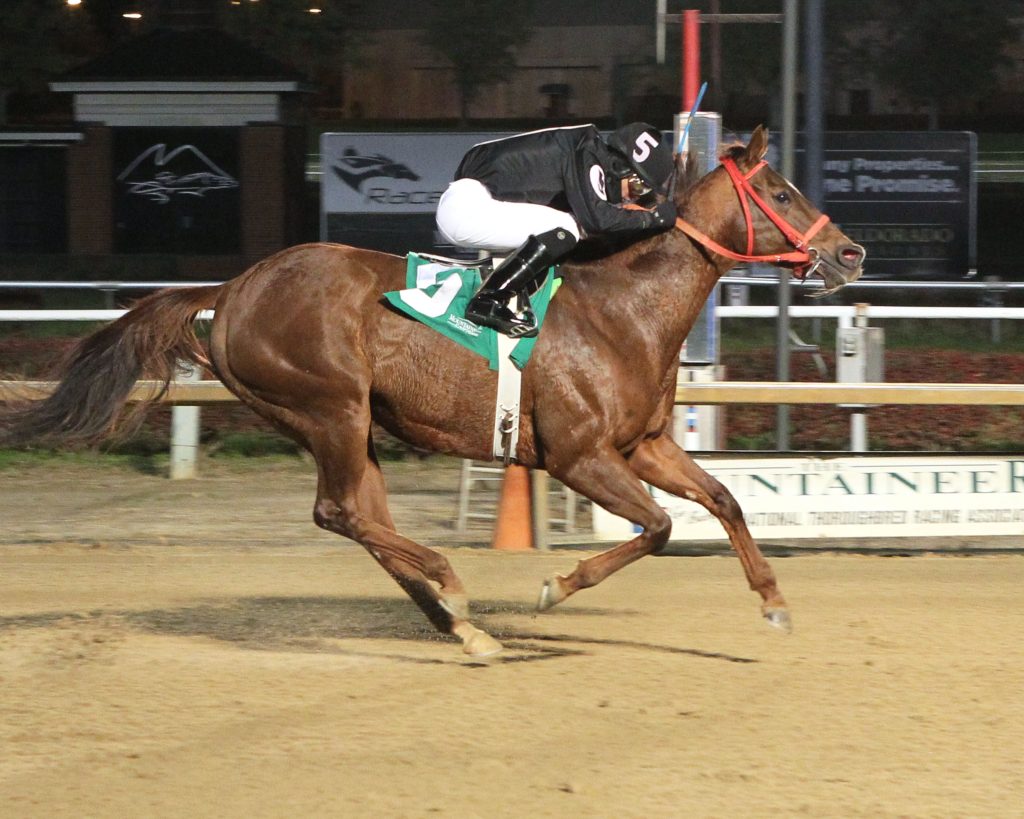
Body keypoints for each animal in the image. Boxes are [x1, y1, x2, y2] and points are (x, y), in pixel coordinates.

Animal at [0, 124, 864, 655]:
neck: (625, 307)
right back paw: (452, 586)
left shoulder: (643, 443)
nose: (849, 253)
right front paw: (553, 585)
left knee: (365, 520)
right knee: (340, 512)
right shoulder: (580, 456)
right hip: (329, 406)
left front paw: (774, 600)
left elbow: (724, 501)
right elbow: (655, 528)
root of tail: (233, 286)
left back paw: (459, 623)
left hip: (348, 424)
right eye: (780, 192)